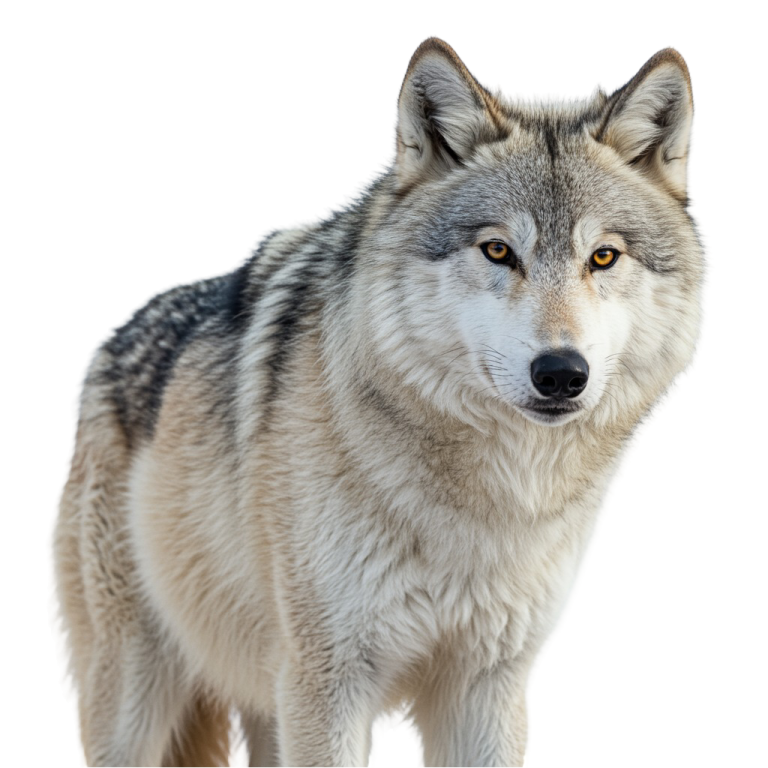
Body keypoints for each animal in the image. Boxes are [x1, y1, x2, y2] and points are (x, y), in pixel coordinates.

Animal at [47, 35, 710, 767]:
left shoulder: (487, 692)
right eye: (498, 250)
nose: (562, 373)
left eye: (603, 257)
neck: (485, 506)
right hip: (136, 708)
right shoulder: (328, 683)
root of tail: (111, 338)